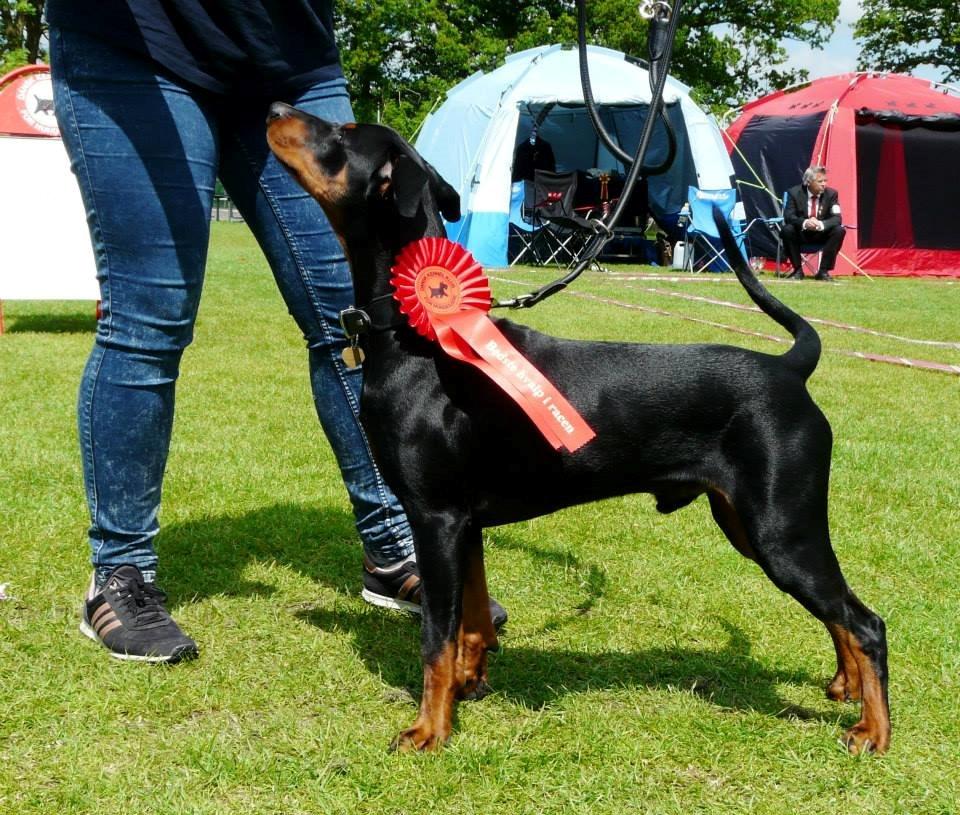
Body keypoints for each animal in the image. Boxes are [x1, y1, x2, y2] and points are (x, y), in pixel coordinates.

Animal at [264, 103, 892, 760]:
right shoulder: (465, 524)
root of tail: (791, 368)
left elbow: (437, 637)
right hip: (749, 523)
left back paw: (873, 731)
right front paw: (469, 685)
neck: (417, 334)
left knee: (865, 621)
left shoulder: (434, 518)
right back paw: (846, 686)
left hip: (779, 529)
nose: (275, 109)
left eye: (340, 135)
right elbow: (472, 623)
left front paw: (429, 728)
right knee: (841, 612)